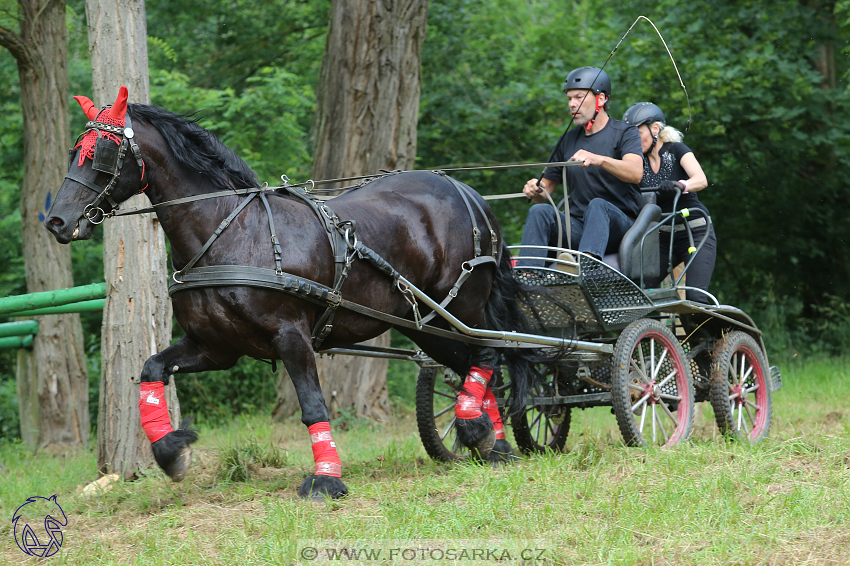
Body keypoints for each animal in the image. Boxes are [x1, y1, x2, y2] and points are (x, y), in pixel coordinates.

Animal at [44, 86, 528, 500]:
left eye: (101, 153)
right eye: (74, 151)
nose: (56, 222)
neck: (231, 232)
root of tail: (466, 191)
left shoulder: (291, 335)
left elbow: (313, 406)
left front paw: (326, 480)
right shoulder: (216, 346)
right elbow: (151, 369)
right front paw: (171, 451)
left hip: (462, 304)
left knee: (490, 354)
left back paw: (479, 431)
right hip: (426, 324)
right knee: (472, 365)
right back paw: (493, 440)